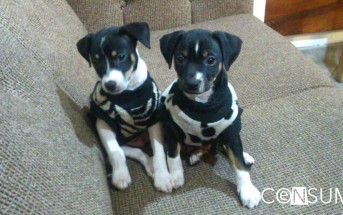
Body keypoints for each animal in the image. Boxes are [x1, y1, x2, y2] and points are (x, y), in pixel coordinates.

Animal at [76, 22, 173, 192]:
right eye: (96, 61)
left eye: (121, 56)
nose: (110, 85)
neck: (128, 95)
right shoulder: (103, 123)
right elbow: (116, 151)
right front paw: (120, 175)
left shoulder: (154, 120)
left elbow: (159, 151)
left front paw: (163, 177)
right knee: (133, 151)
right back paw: (148, 164)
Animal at [160, 29, 262, 207]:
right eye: (180, 59)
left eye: (210, 60)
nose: (192, 83)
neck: (202, 104)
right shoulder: (172, 129)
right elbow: (173, 156)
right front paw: (175, 176)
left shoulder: (231, 131)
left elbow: (240, 166)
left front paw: (247, 191)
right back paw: (195, 154)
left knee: (225, 147)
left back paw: (243, 155)